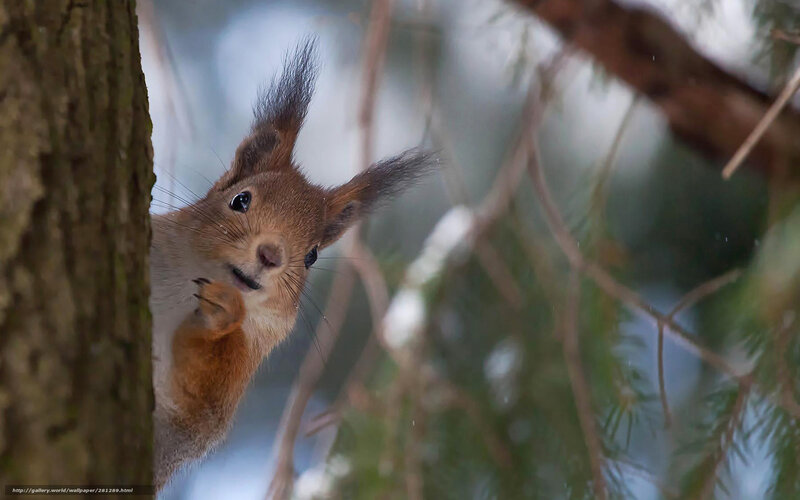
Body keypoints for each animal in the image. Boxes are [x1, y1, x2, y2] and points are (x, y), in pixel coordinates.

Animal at [150, 39, 434, 490]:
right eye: (240, 200)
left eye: (312, 255)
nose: (270, 255)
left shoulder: (220, 394)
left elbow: (198, 403)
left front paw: (220, 315)